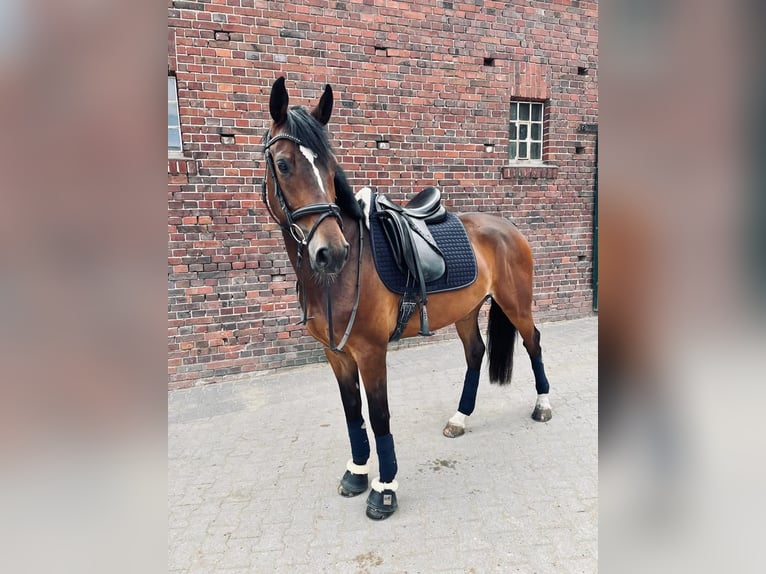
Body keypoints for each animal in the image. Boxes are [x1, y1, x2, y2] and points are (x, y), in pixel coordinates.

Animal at [262, 76, 552, 520]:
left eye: (329, 167)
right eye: (283, 164)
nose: (332, 252)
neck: (340, 276)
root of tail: (509, 228)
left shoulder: (371, 351)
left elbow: (379, 416)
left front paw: (383, 490)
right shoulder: (336, 353)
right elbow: (353, 414)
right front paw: (356, 473)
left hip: (516, 303)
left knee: (533, 341)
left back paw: (542, 405)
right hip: (466, 311)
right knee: (476, 352)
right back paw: (460, 418)